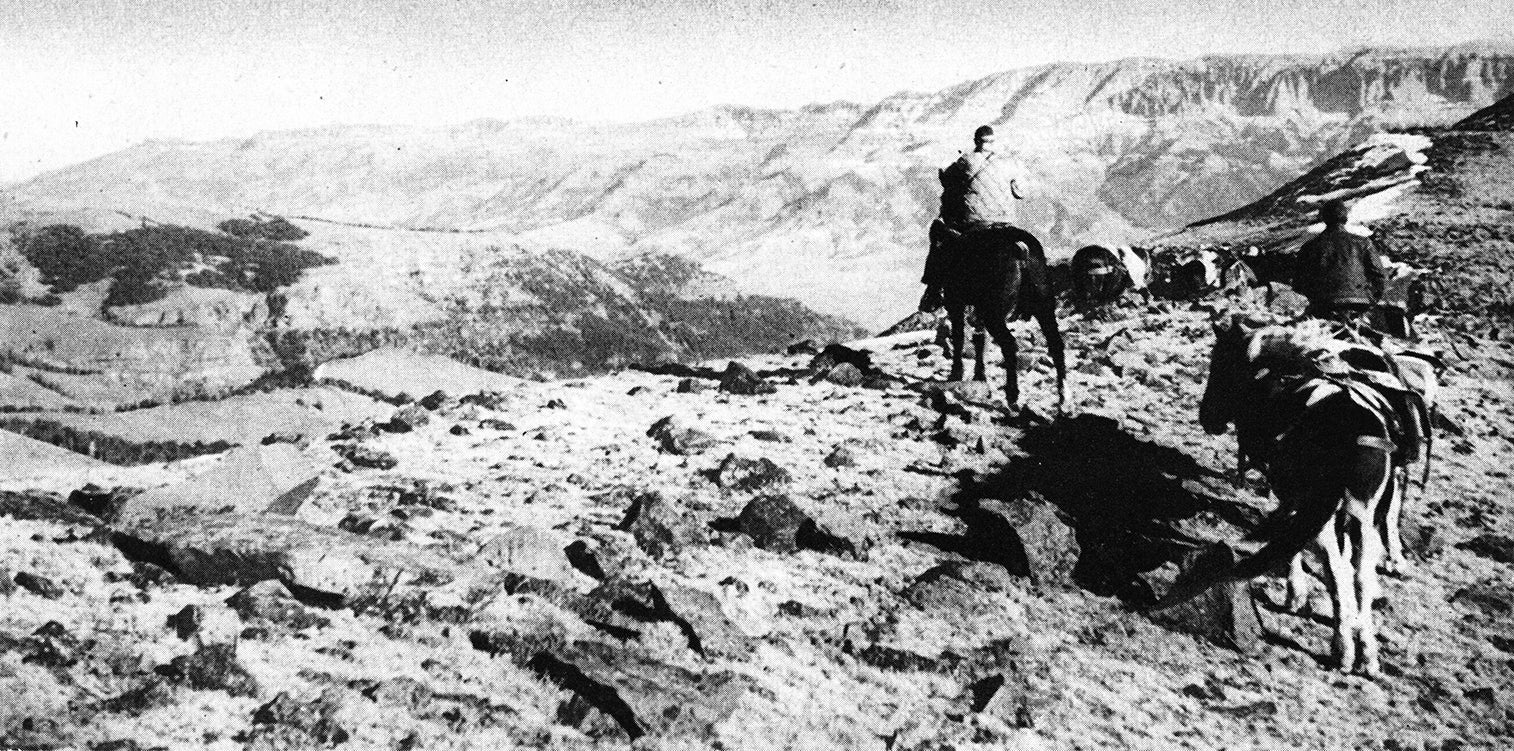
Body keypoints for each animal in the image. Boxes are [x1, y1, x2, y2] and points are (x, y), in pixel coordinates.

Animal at [938, 224, 1071, 411]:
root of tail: (1021, 248)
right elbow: (980, 340)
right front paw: (979, 376)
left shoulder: (955, 302)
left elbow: (959, 337)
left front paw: (956, 373)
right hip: (1044, 305)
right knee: (1056, 344)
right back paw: (1063, 396)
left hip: (994, 313)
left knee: (1009, 343)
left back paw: (1012, 395)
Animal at [1162, 316, 1398, 675]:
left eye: (1220, 365)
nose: (1208, 418)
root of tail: (1355, 430)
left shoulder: (1291, 495)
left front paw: (1296, 594)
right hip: (1363, 515)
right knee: (1360, 575)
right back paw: (1367, 653)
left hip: (1323, 512)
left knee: (1338, 571)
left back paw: (1342, 649)